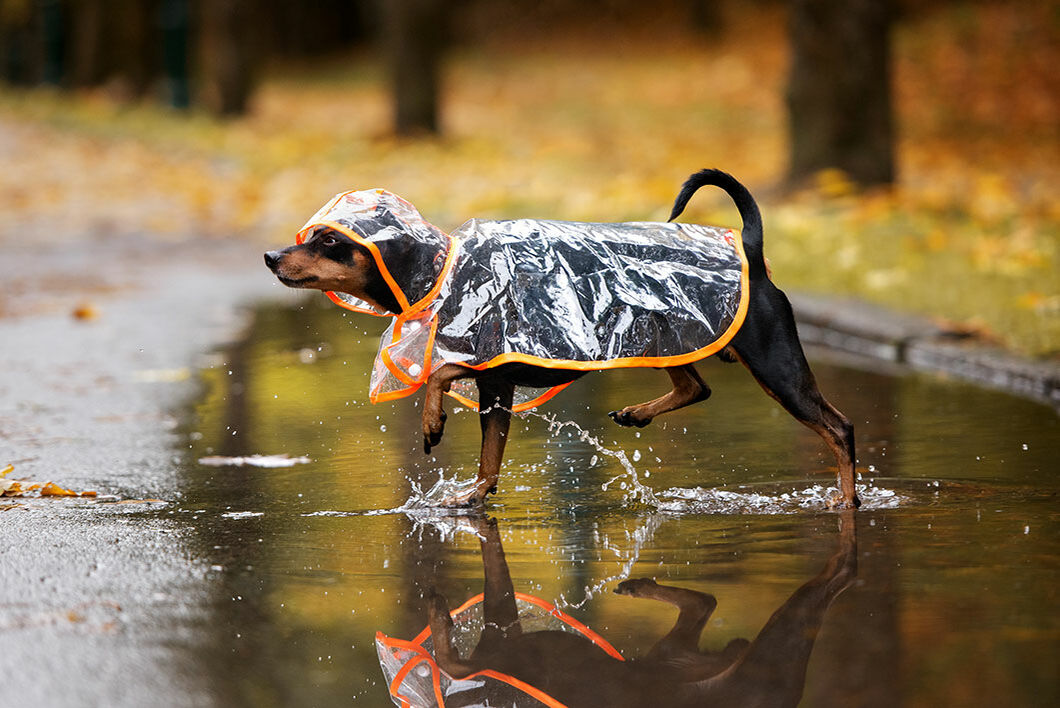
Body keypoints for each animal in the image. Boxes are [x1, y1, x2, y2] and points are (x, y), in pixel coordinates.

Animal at [265, 168, 860, 508]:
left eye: (328, 242)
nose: (270, 256)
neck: (443, 271)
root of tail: (752, 253)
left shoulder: (493, 360)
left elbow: (441, 373)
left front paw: (433, 423)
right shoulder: (498, 389)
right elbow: (490, 457)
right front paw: (476, 495)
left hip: (775, 364)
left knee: (840, 426)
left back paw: (848, 499)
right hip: (663, 337)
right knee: (697, 387)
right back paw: (637, 413)